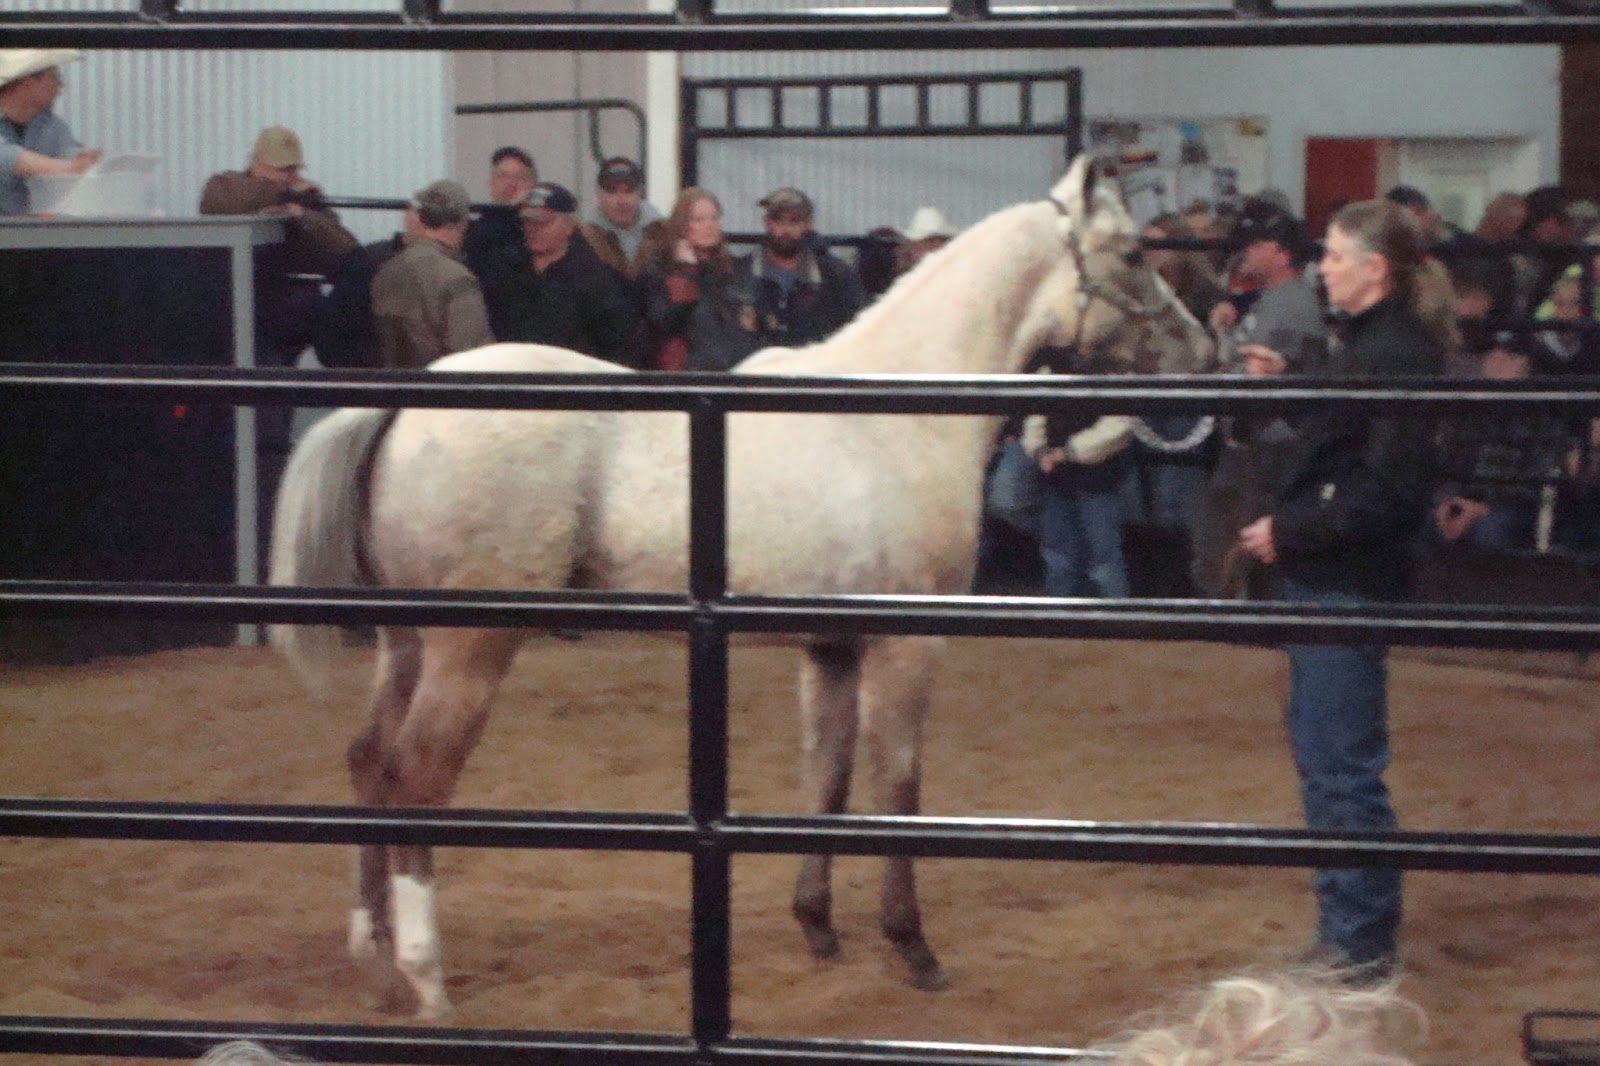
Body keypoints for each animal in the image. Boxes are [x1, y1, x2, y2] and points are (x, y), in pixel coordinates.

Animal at [268, 156, 1214, 1019]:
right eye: (1135, 253)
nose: (1202, 351)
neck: (896, 414)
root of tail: (403, 407)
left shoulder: (829, 647)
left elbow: (826, 782)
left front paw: (821, 931)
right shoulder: (907, 641)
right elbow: (898, 787)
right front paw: (913, 948)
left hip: (405, 643)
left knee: (368, 763)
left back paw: (375, 962)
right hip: (469, 647)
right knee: (416, 776)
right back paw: (427, 980)